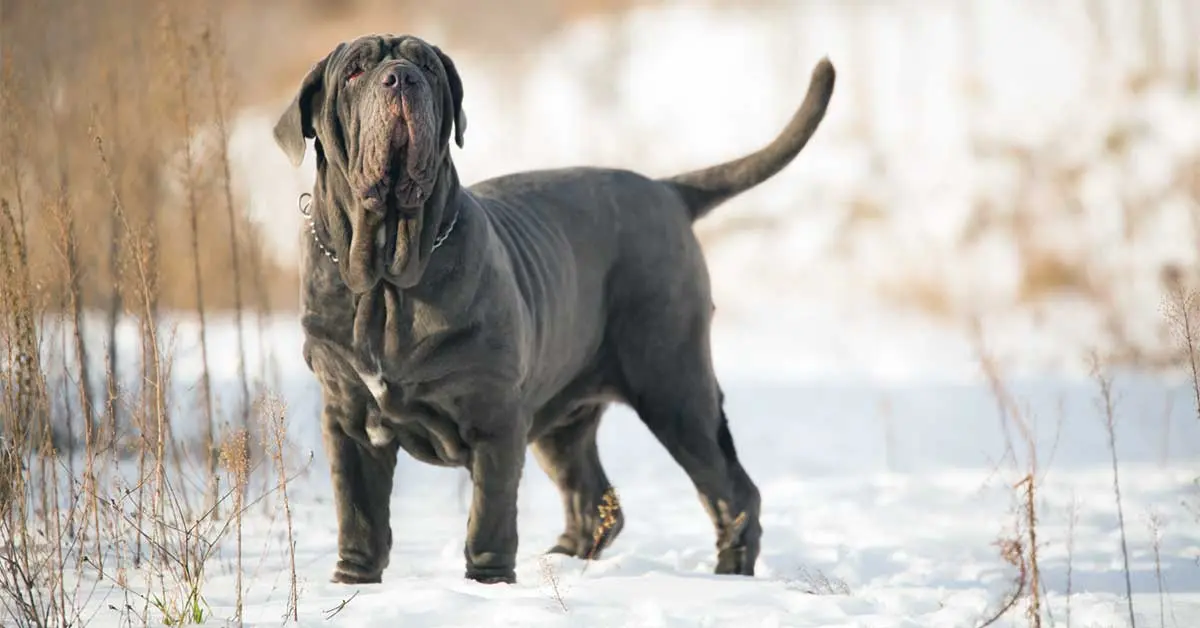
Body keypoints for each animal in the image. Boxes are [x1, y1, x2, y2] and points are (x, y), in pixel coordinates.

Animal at [272, 33, 835, 585]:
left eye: (427, 67)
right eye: (354, 71)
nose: (402, 78)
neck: (388, 279)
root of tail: (667, 190)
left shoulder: (496, 421)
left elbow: (489, 515)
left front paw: (487, 585)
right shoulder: (348, 419)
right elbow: (358, 513)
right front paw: (353, 583)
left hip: (674, 386)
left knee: (731, 491)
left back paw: (728, 574)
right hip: (565, 418)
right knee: (595, 498)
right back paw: (561, 560)